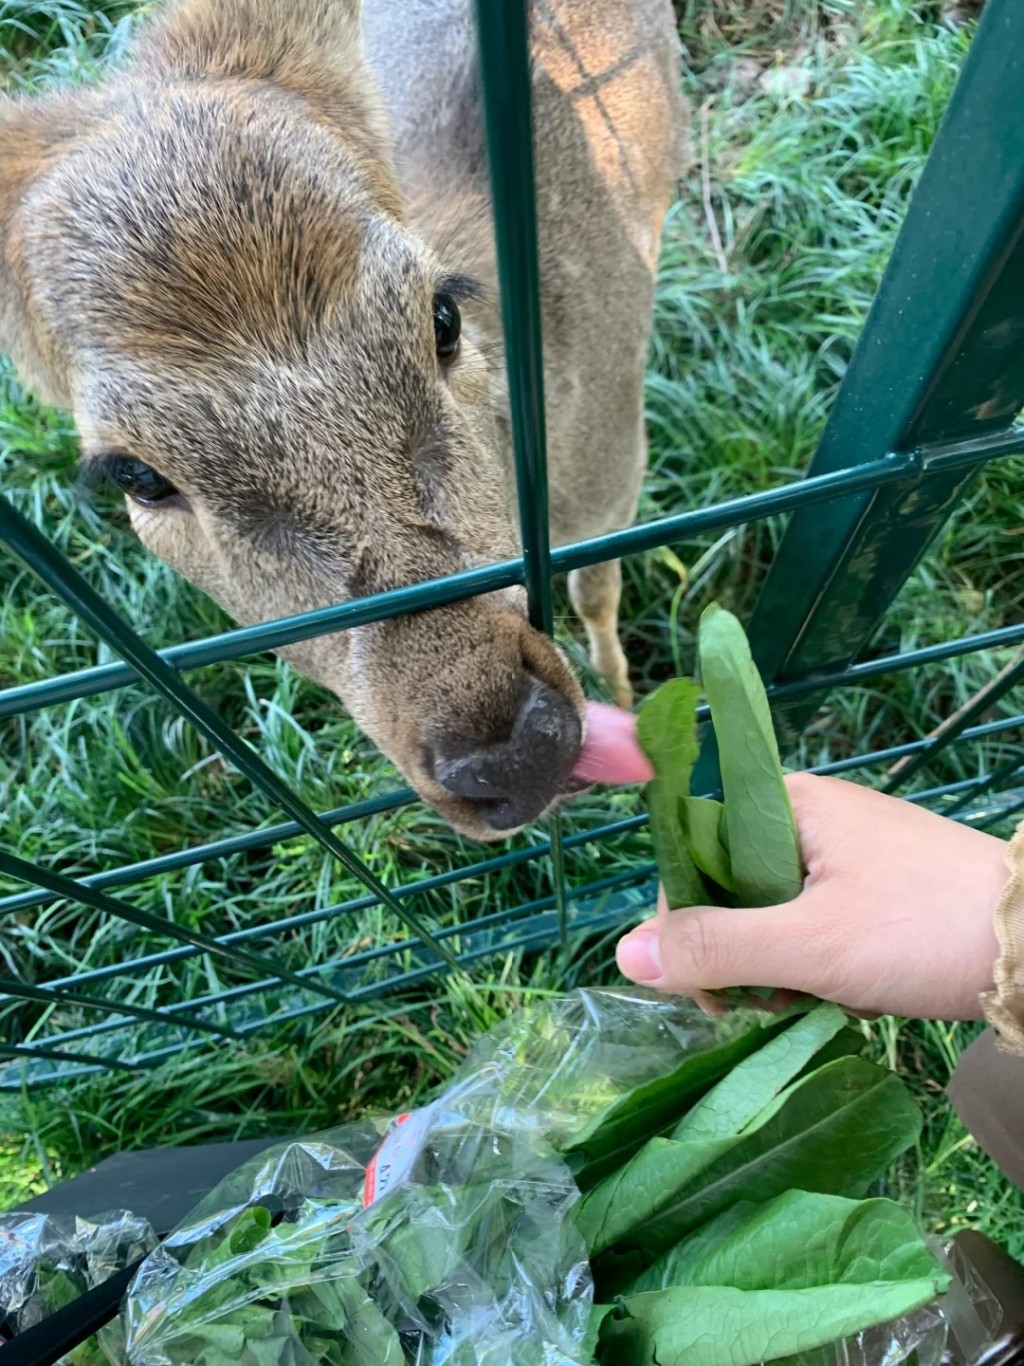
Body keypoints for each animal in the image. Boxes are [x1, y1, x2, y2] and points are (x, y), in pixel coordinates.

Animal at [0, 0, 690, 835]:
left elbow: (597, 590)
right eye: (136, 476)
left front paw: (625, 694)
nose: (516, 754)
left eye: (442, 316)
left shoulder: (617, 461)